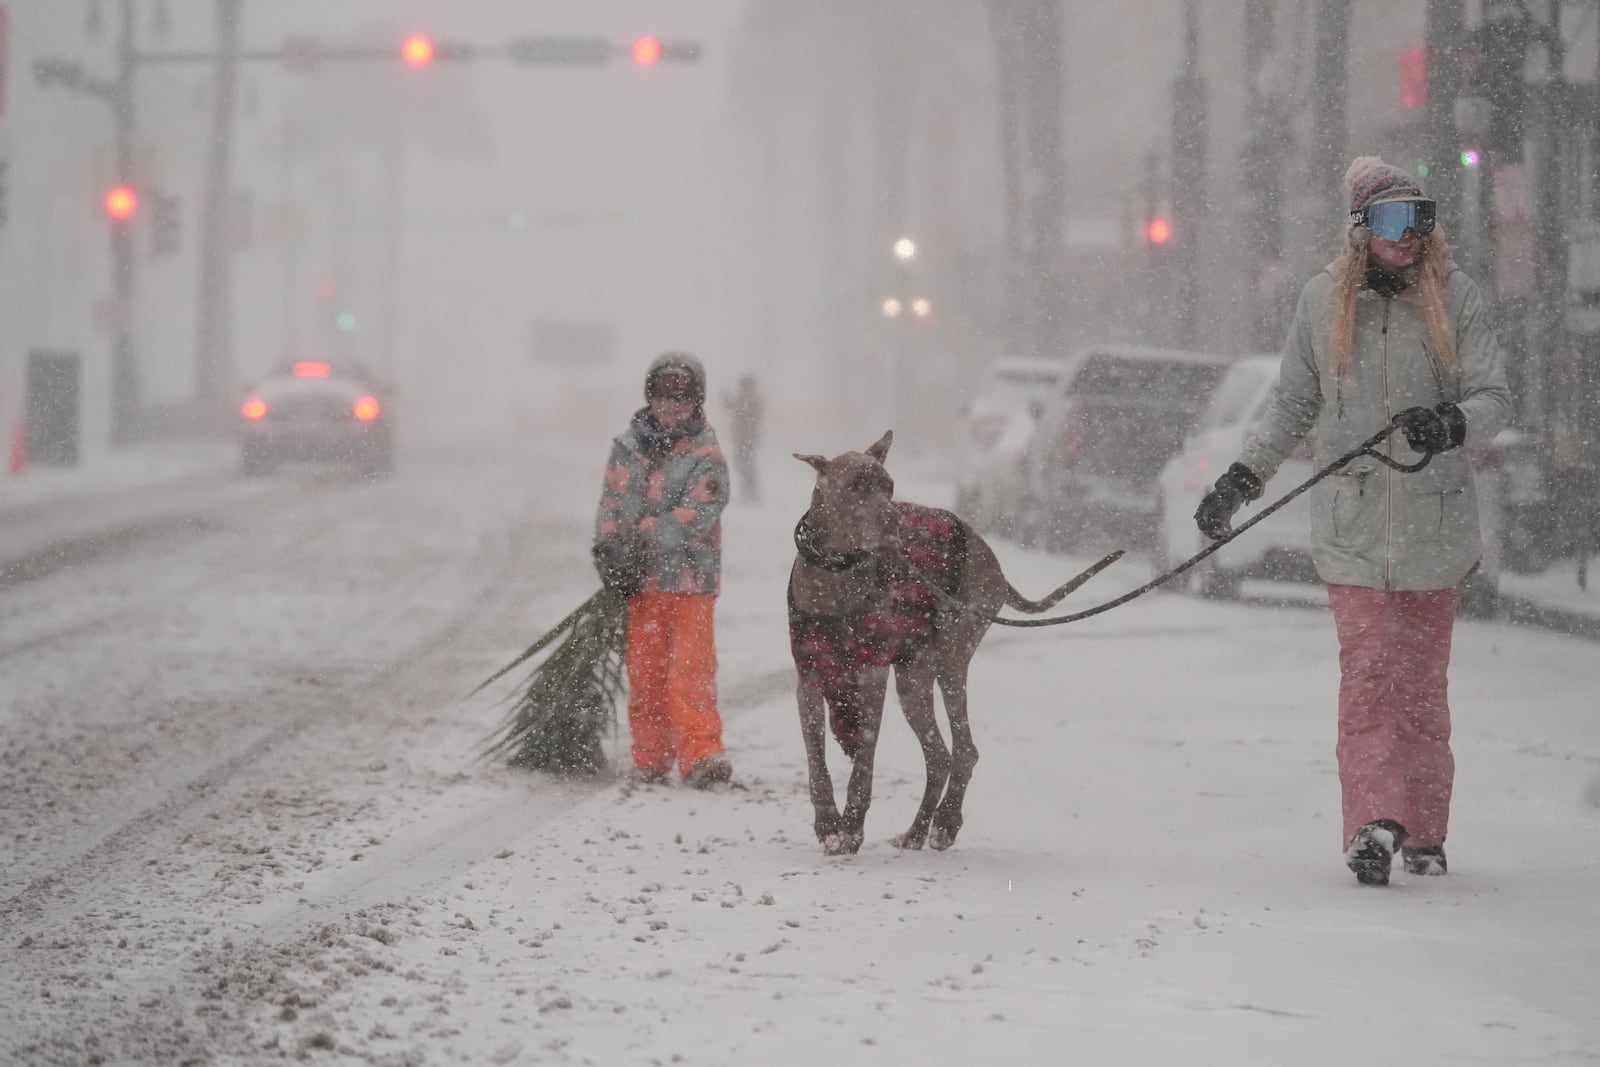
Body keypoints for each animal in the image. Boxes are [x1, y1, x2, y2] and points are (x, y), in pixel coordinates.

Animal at [787, 428, 1113, 857]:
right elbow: (816, 761)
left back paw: (944, 824)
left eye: (889, 487)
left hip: (950, 655)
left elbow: (864, 762)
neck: (837, 575)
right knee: (940, 755)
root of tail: (993, 560)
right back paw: (916, 831)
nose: (893, 520)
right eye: (855, 486)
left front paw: (852, 828)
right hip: (913, 676)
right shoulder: (808, 676)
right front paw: (829, 827)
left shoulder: (872, 675)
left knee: (964, 750)